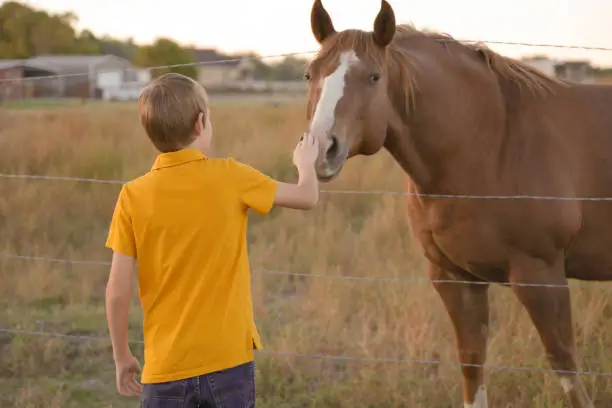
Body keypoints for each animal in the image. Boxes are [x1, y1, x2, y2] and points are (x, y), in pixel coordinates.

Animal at [304, 0, 612, 408]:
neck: (492, 143)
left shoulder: (541, 276)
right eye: (309, 74)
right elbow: (471, 364)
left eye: (373, 77)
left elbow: (566, 370)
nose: (320, 150)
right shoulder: (455, 279)